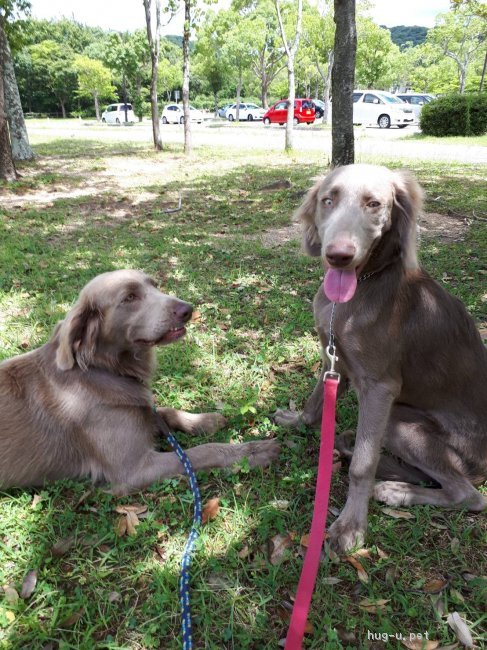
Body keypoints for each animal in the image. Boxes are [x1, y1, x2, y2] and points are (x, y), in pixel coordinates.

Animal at [0, 270, 280, 494]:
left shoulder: (140, 411)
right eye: (130, 298)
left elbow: (164, 411)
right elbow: (201, 452)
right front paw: (252, 451)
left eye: (154, 285)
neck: (107, 369)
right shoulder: (135, 469)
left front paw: (205, 420)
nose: (187, 309)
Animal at [276, 165, 486, 548]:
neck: (364, 284)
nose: (338, 255)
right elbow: (316, 401)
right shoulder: (334, 360)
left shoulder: (379, 388)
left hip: (399, 423)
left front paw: (351, 525)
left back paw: (395, 491)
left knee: (469, 495)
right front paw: (296, 420)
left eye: (373, 204)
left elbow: (362, 463)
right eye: (328, 200)